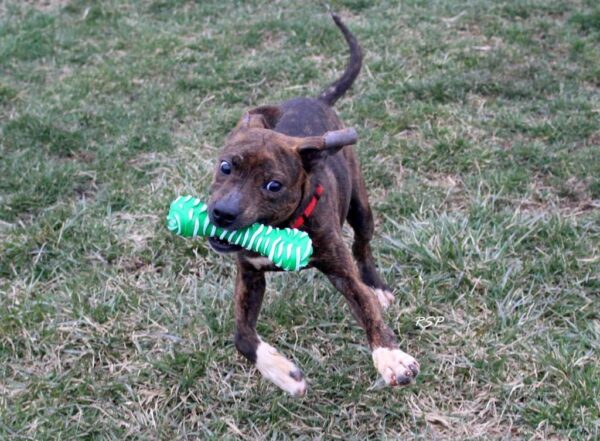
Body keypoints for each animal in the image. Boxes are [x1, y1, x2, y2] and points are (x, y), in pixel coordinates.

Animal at [206, 13, 418, 394]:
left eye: (273, 185)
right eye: (226, 166)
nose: (223, 213)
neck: (278, 228)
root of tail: (317, 101)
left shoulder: (341, 271)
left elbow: (366, 309)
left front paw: (390, 357)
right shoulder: (249, 275)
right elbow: (241, 335)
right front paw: (282, 373)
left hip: (361, 208)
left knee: (363, 246)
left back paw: (377, 286)